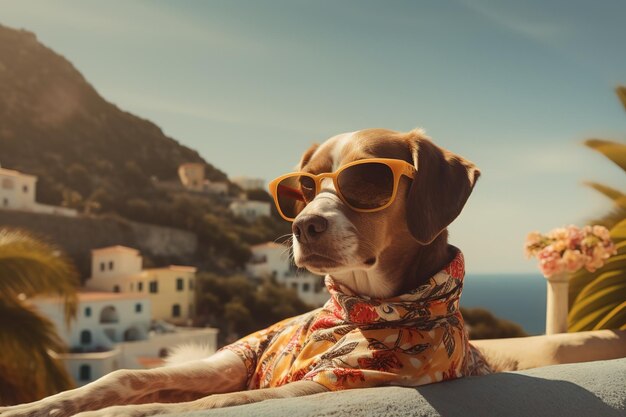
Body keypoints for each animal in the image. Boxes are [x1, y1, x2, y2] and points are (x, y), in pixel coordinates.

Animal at [2, 128, 620, 414]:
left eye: (366, 181)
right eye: (301, 187)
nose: (304, 226)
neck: (353, 311)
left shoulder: (338, 381)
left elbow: (194, 407)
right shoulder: (250, 368)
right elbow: (135, 384)